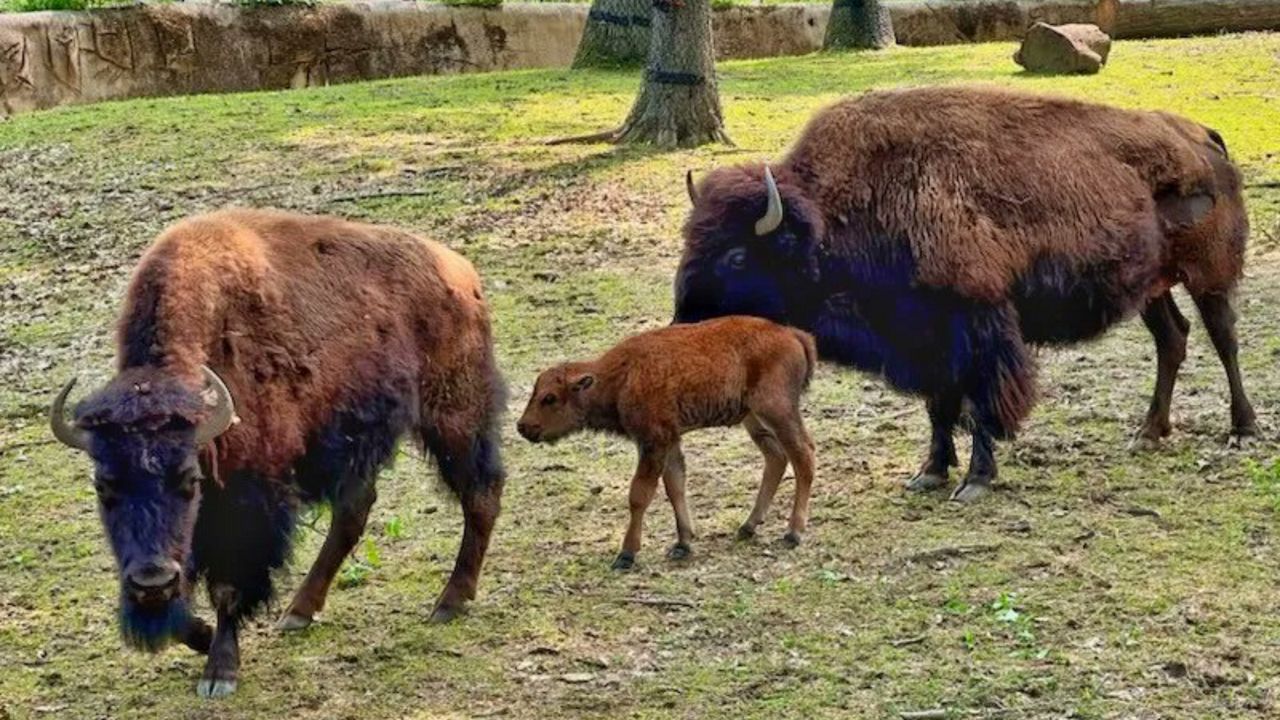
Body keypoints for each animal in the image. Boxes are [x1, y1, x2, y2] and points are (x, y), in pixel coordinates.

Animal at [51, 208, 509, 696]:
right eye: (104, 486)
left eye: (189, 481)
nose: (151, 581)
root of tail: (459, 270)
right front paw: (203, 636)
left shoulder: (247, 500)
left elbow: (229, 585)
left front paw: (219, 671)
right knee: (354, 513)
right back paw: (299, 611)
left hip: (454, 419)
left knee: (480, 494)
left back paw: (450, 601)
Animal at [519, 313, 819, 566]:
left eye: (549, 398)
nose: (523, 427)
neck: (621, 376)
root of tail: (791, 334)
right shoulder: (671, 440)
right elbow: (675, 486)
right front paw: (682, 544)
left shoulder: (654, 442)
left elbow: (639, 494)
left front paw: (626, 554)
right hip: (753, 419)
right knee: (776, 457)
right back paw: (747, 526)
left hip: (777, 411)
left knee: (802, 455)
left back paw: (793, 532)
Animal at [675, 85, 1254, 499]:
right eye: (690, 239)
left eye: (736, 255)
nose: (684, 321)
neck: (836, 215)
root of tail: (1203, 136)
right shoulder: (924, 340)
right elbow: (940, 406)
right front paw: (930, 473)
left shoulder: (979, 326)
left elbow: (982, 403)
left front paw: (975, 480)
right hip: (1152, 288)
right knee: (1172, 339)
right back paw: (1149, 432)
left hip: (1208, 275)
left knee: (1223, 338)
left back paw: (1242, 429)